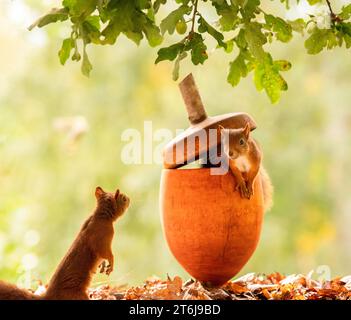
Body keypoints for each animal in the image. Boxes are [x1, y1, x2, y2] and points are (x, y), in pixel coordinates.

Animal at [0, 185, 130, 300]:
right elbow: (105, 252)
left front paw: (102, 265)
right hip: (76, 295)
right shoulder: (102, 237)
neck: (101, 217)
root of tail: (49, 296)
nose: (129, 199)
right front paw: (111, 264)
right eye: (123, 198)